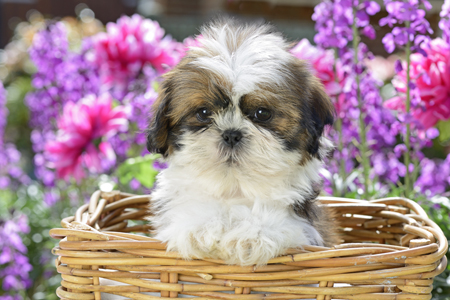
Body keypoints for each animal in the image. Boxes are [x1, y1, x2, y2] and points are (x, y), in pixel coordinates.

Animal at [147, 18, 338, 264]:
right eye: (203, 112)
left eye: (262, 113)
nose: (231, 134)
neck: (235, 188)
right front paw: (202, 228)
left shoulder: (304, 225)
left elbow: (273, 218)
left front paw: (249, 236)